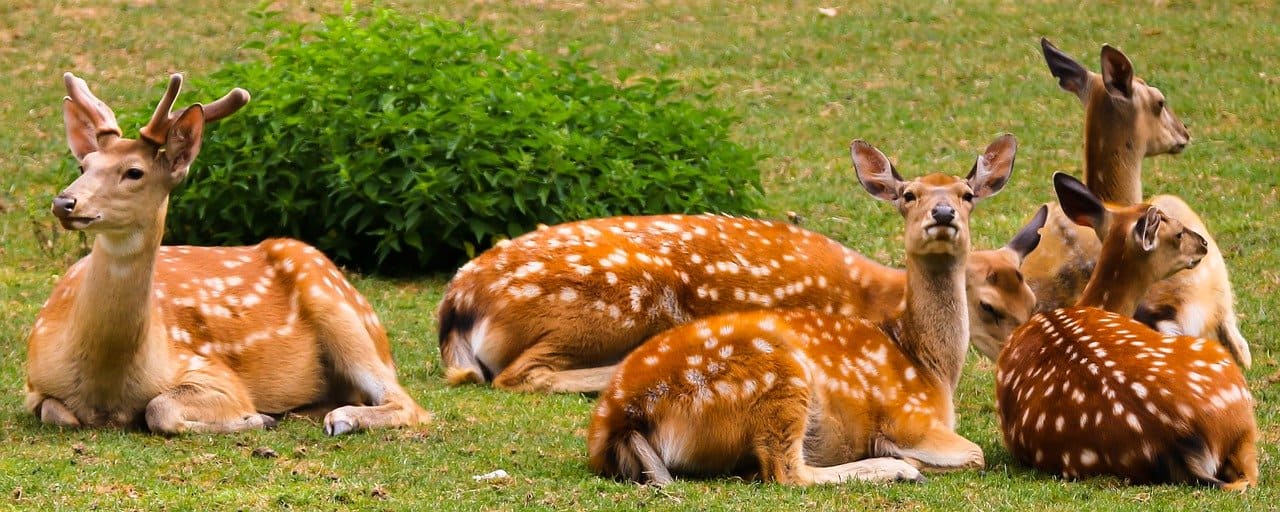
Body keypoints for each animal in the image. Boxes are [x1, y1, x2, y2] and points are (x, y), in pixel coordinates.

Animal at [22, 72, 432, 435]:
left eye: (134, 172)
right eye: (84, 164)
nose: (64, 202)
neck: (106, 387)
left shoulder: (211, 371)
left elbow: (160, 408)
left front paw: (257, 418)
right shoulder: (32, 383)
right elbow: (56, 412)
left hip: (341, 312)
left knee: (411, 404)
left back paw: (342, 418)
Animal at [586, 133, 1013, 486]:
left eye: (966, 194)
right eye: (908, 194)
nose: (942, 213)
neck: (930, 367)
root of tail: (624, 416)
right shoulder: (910, 418)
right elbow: (976, 453)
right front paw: (902, 456)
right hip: (778, 379)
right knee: (786, 471)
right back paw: (896, 469)